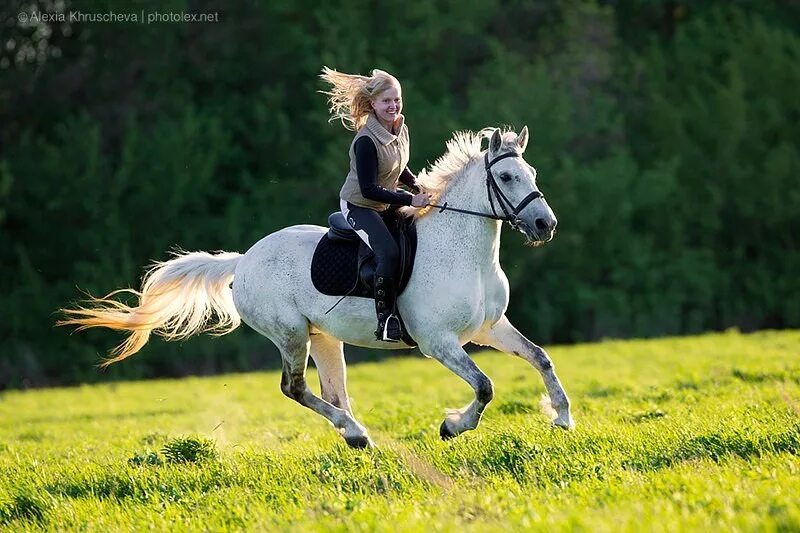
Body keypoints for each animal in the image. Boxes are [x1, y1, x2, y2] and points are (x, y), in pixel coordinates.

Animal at [62, 127, 576, 446]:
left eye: (532, 175)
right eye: (506, 176)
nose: (545, 224)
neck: (464, 251)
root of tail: (244, 260)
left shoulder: (490, 328)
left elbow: (541, 359)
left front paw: (563, 417)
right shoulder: (439, 342)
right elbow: (485, 387)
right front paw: (452, 427)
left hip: (324, 338)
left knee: (333, 393)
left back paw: (357, 435)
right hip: (290, 335)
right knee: (294, 388)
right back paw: (356, 434)